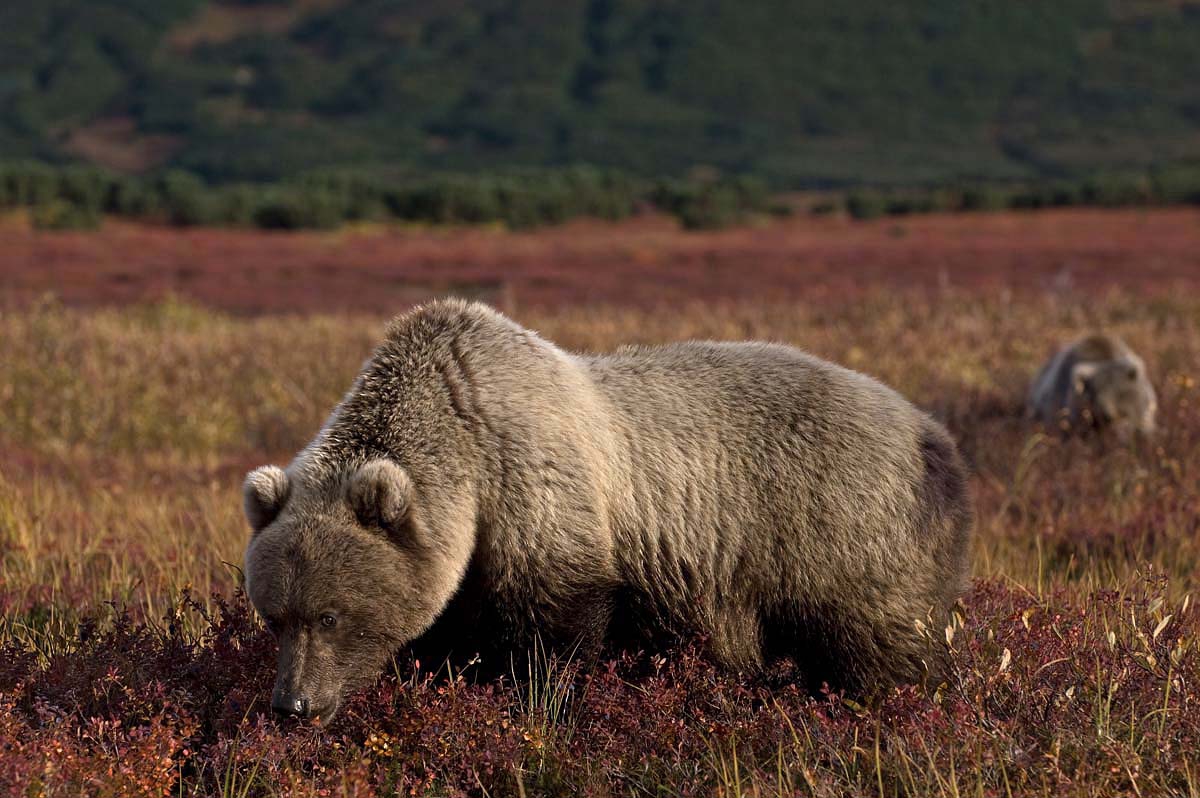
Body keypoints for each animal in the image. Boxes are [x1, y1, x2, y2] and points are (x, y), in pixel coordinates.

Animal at [243, 298, 974, 720]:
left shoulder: (537, 488)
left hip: (846, 526)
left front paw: (541, 707)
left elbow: (553, 632)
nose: (293, 706)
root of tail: (937, 439)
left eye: (330, 614)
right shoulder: (463, 562)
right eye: (274, 616)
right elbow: (449, 638)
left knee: (880, 648)